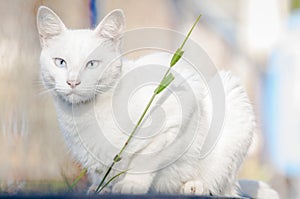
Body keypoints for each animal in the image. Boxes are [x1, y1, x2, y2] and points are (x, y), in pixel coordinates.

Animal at [37, 5, 278, 197]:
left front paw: (132, 184)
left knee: (221, 186)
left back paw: (194, 186)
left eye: (92, 64)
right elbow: (100, 174)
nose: (73, 82)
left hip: (232, 99)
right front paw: (102, 188)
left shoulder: (177, 114)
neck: (84, 117)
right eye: (60, 62)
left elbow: (146, 158)